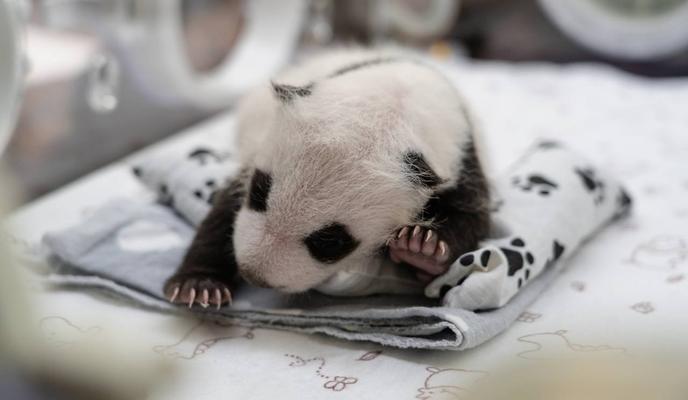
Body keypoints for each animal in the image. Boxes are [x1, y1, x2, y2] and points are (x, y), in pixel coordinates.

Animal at [164, 49, 491, 308]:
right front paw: (200, 286)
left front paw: (422, 246)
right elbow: (225, 209)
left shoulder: (460, 155)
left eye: (330, 241)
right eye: (260, 191)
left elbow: (472, 215)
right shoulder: (260, 149)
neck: (402, 89)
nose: (255, 274)